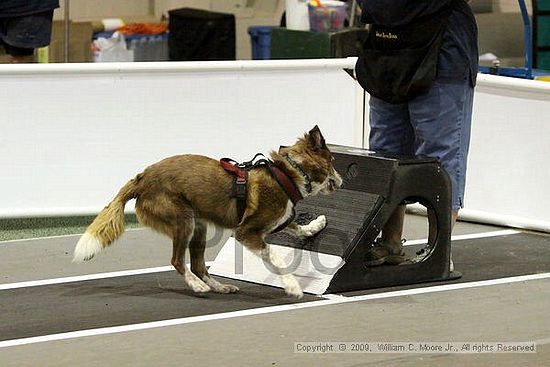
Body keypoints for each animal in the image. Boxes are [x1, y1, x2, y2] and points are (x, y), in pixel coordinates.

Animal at [72, 126, 340, 300]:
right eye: (333, 161)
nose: (342, 180)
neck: (287, 175)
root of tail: (141, 178)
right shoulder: (247, 232)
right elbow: (276, 258)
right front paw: (292, 286)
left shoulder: (277, 222)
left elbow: (296, 226)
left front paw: (316, 225)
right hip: (184, 220)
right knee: (178, 260)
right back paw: (197, 286)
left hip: (199, 225)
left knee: (199, 265)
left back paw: (219, 287)